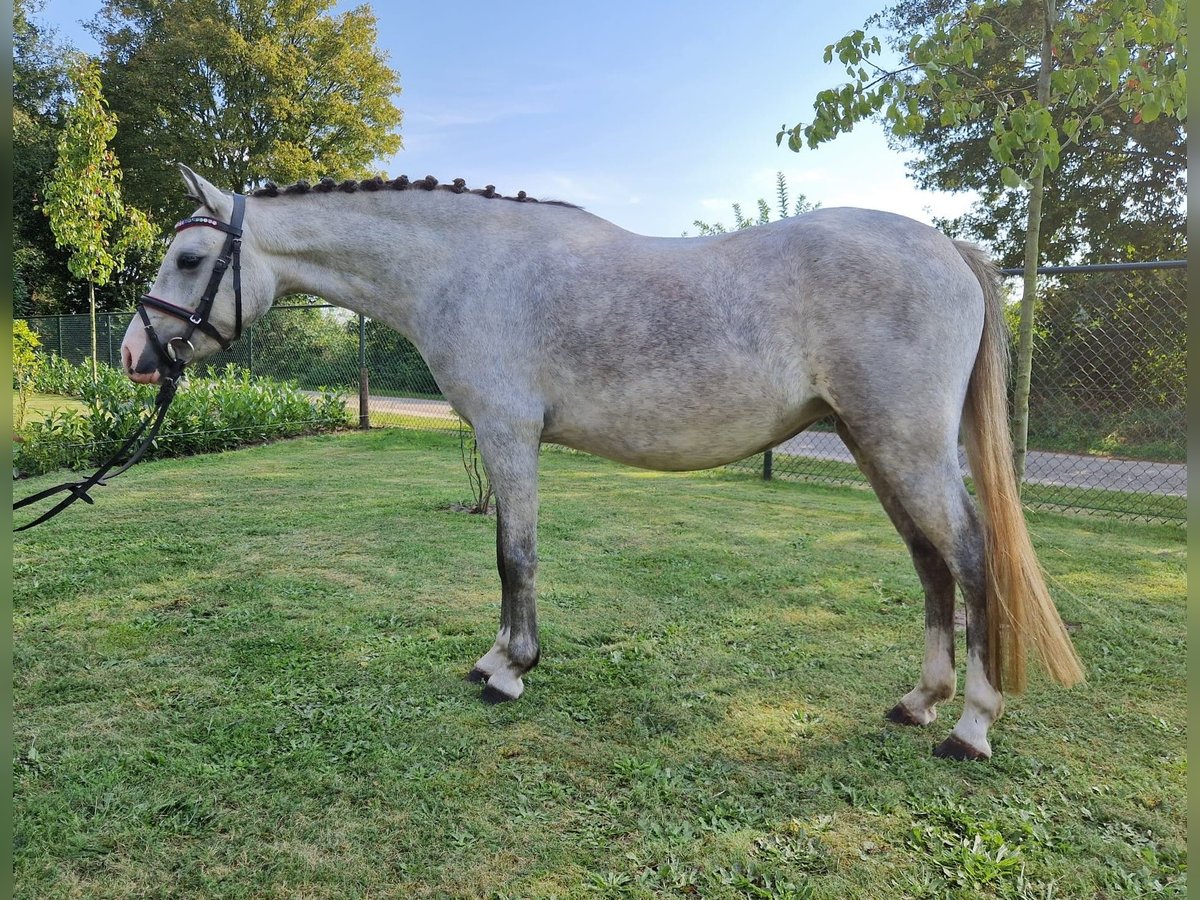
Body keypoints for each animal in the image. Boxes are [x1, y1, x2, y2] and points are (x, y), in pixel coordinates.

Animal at [124, 168, 1089, 763]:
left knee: (971, 559)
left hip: (906, 445)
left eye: (191, 257)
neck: (467, 268)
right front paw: (498, 657)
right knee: (930, 563)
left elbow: (514, 555)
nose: (136, 355)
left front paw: (509, 669)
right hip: (874, 444)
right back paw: (919, 701)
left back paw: (970, 727)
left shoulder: (508, 435)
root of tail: (944, 249)